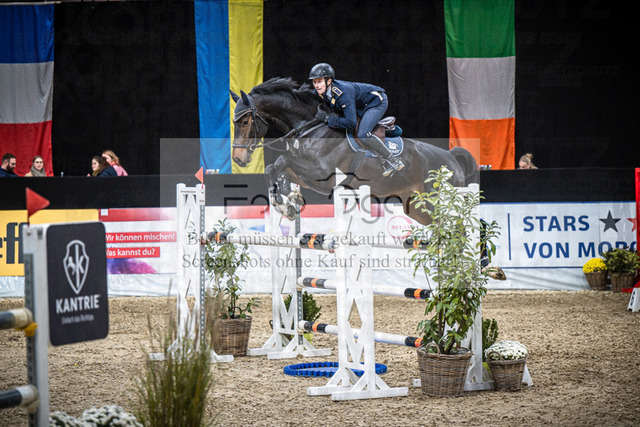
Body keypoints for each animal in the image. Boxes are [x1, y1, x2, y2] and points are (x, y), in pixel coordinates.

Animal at [230, 77, 479, 226]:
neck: (310, 125)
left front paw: (286, 203)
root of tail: (451, 157)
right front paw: (288, 202)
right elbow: (274, 168)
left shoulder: (322, 174)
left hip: (439, 201)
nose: (238, 159)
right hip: (417, 207)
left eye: (245, 122)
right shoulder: (304, 173)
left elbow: (281, 160)